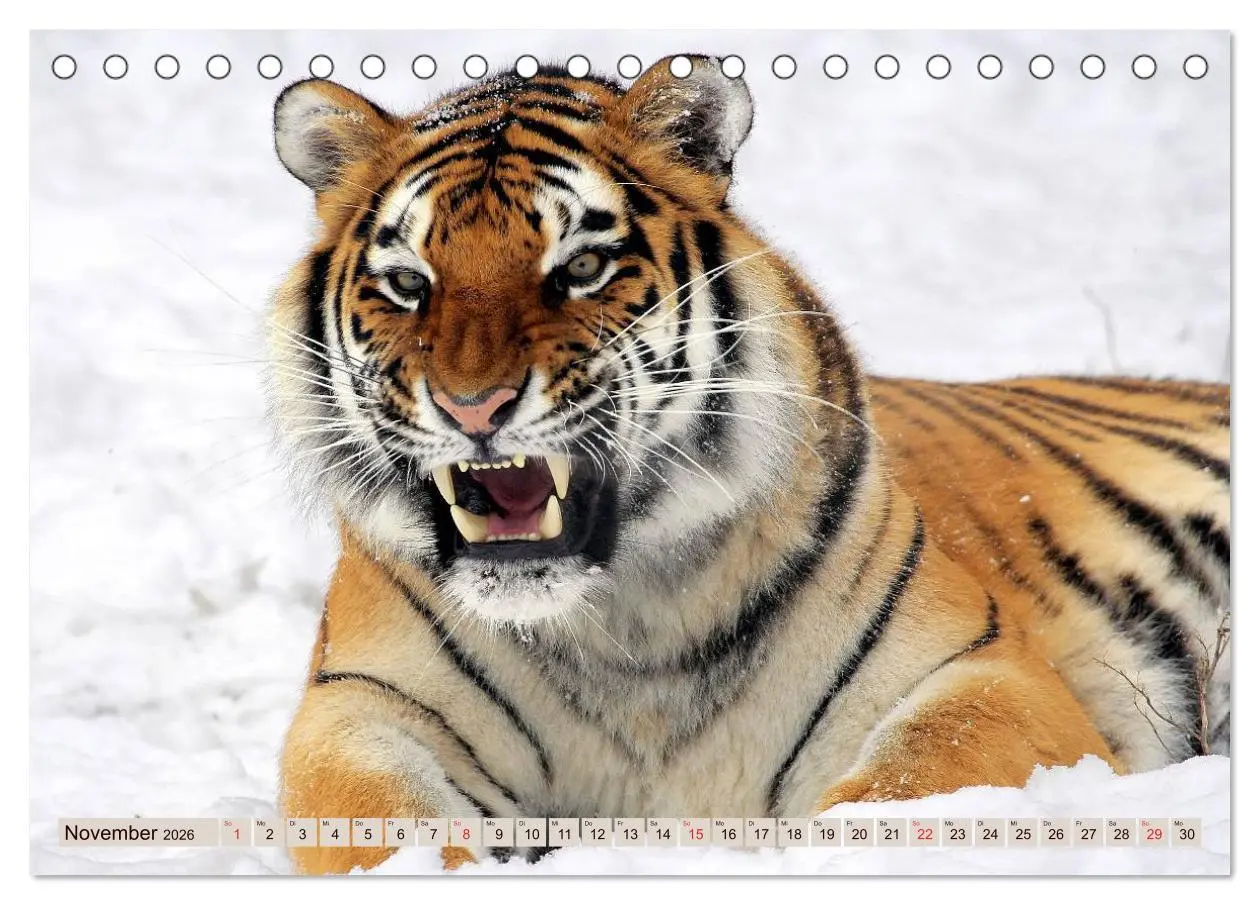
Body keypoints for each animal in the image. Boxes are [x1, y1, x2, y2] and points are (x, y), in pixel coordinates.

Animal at [266, 55, 1230, 874]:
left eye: (582, 266)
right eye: (408, 283)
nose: (473, 407)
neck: (623, 627)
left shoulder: (984, 671)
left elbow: (905, 788)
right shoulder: (360, 705)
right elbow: (379, 825)